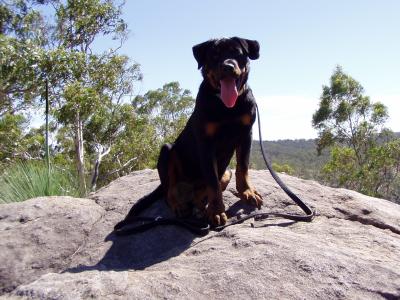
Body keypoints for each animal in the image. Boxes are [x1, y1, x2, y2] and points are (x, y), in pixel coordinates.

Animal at [115, 36, 262, 229]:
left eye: (237, 53)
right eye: (214, 55)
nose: (228, 66)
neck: (226, 106)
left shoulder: (246, 134)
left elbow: (242, 168)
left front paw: (247, 192)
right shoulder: (206, 143)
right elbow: (213, 182)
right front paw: (216, 211)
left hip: (225, 172)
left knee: (203, 190)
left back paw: (200, 207)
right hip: (167, 150)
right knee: (169, 191)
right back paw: (180, 205)